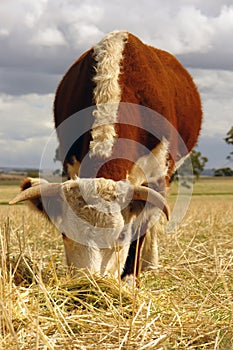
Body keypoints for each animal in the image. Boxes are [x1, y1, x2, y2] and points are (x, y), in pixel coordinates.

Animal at [9, 30, 202, 282]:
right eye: (64, 233)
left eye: (121, 236)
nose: (90, 283)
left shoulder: (158, 173)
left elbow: (144, 225)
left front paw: (130, 278)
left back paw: (150, 263)